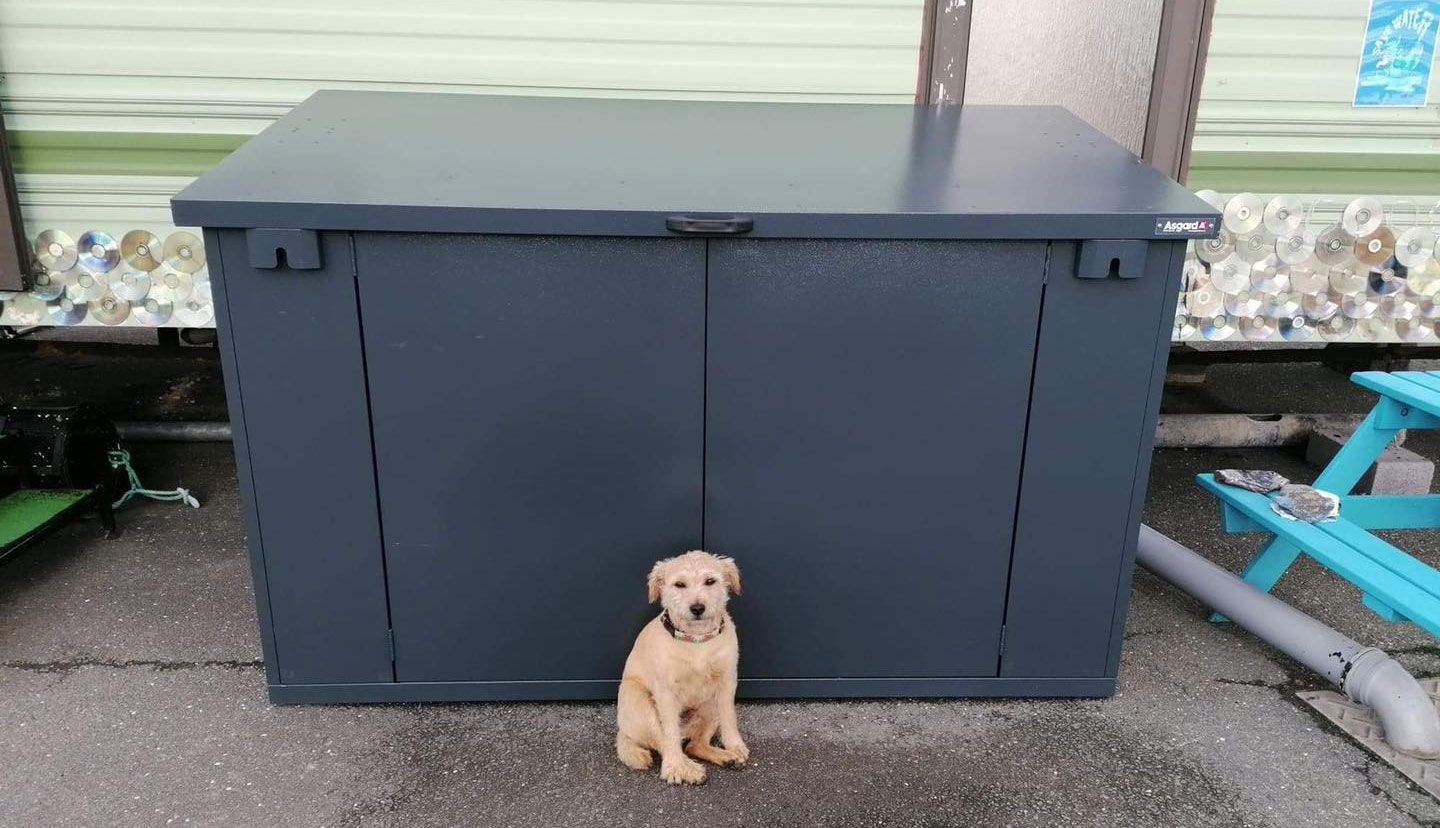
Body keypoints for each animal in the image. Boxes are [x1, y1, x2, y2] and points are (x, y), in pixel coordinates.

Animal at [616, 550, 748, 783]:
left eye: (710, 581)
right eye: (679, 584)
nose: (697, 608)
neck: (696, 640)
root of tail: (623, 732)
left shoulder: (727, 682)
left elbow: (729, 718)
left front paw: (735, 746)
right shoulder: (665, 692)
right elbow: (669, 734)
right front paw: (675, 768)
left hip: (709, 704)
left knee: (694, 745)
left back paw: (726, 757)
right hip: (640, 701)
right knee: (666, 741)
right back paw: (684, 767)